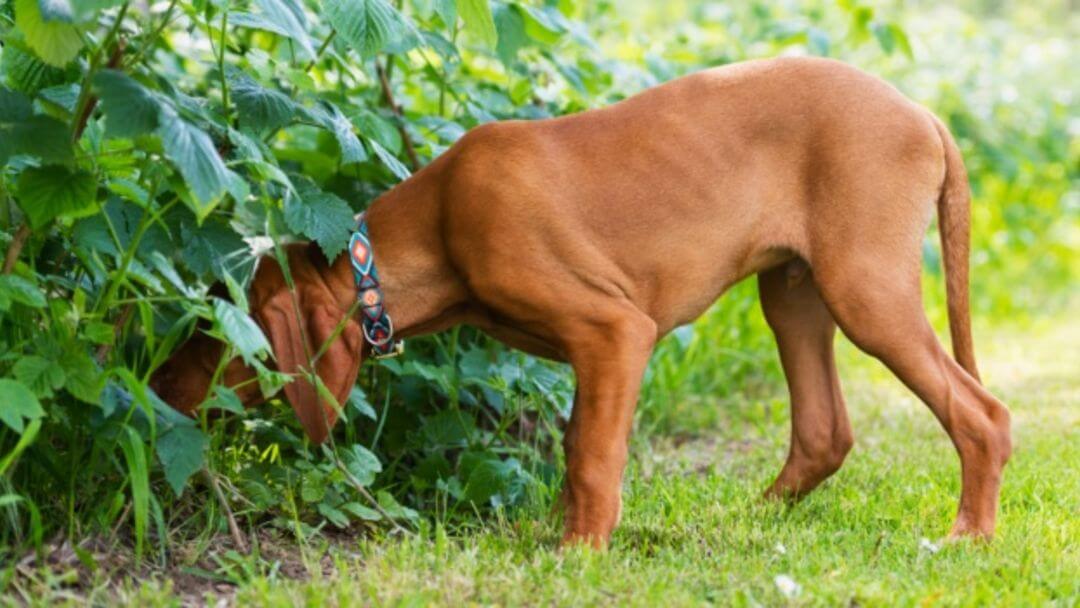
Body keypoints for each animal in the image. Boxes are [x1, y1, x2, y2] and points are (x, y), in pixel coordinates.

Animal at [152, 58, 1010, 546]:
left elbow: (594, 457)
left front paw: (578, 554)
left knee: (984, 415)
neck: (436, 224)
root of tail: (923, 113)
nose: (155, 388)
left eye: (216, 336)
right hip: (795, 292)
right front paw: (573, 538)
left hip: (865, 288)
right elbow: (573, 448)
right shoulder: (593, 351)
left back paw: (967, 537)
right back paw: (749, 520)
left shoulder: (614, 330)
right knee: (825, 431)